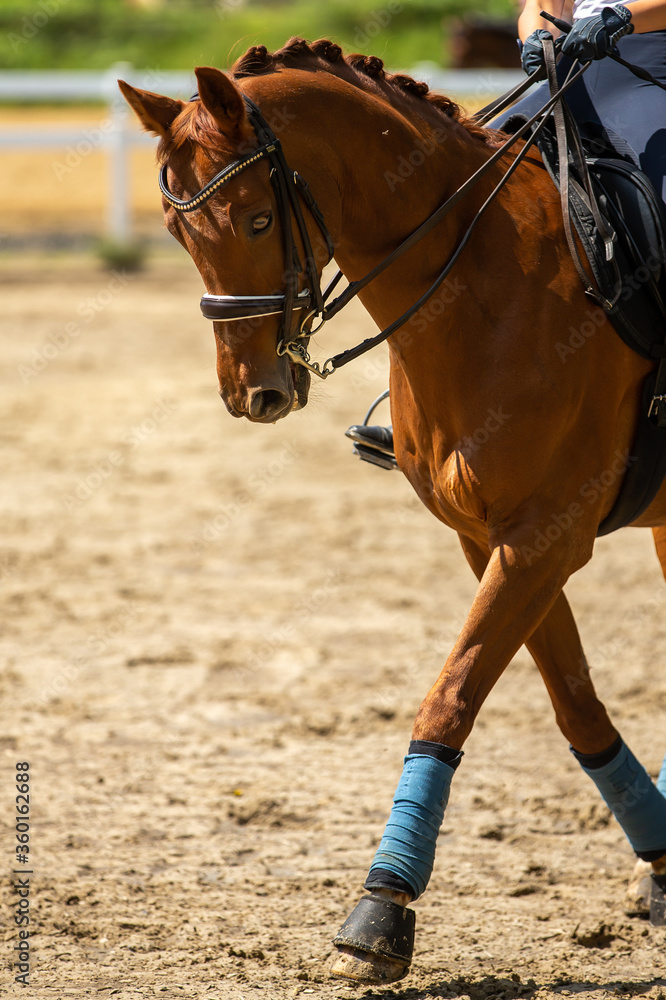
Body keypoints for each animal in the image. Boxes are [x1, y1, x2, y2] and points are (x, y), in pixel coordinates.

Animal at [119, 38, 666, 985]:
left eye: (257, 222)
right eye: (179, 231)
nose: (250, 393)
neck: (491, 280)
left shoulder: (545, 535)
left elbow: (448, 698)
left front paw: (379, 909)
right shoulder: (491, 539)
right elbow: (575, 706)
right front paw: (661, 861)